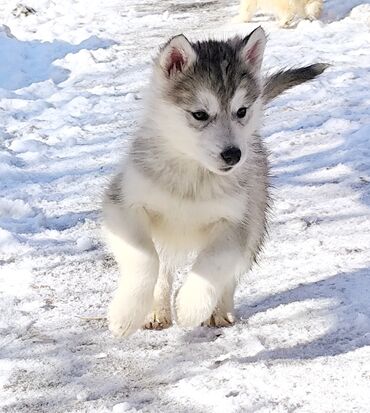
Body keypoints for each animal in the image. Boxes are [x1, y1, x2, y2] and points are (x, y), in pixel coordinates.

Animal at [103, 27, 326, 336]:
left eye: (241, 111)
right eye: (200, 114)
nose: (233, 154)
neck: (194, 176)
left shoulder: (237, 222)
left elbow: (213, 263)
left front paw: (191, 306)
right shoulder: (123, 205)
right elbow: (145, 258)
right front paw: (126, 313)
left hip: (255, 224)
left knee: (230, 275)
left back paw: (219, 311)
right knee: (163, 266)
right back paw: (157, 311)